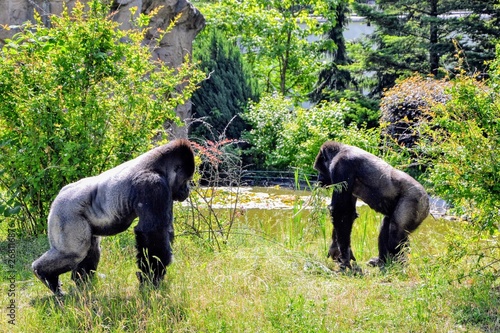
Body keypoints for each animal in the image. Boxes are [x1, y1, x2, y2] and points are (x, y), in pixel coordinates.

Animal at [31, 139, 195, 294]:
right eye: (186, 180)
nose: (187, 190)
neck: (159, 166)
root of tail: (59, 194)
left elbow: (165, 229)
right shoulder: (153, 185)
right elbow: (152, 232)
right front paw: (152, 277)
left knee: (90, 248)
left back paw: (82, 283)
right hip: (64, 212)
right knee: (72, 253)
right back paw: (45, 274)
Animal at [314, 139, 428, 268]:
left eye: (319, 170)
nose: (318, 179)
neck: (340, 151)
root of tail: (428, 201)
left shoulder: (341, 166)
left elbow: (341, 211)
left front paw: (344, 255)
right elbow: (346, 212)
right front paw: (336, 248)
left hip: (417, 201)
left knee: (396, 233)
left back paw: (398, 265)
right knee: (387, 224)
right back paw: (382, 261)